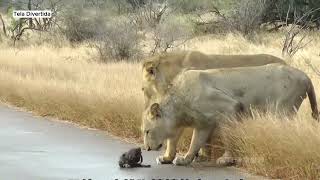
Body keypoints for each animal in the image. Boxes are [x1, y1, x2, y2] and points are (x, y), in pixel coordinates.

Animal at [141, 50, 286, 162]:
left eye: (143, 89)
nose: (146, 148)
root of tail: (285, 63)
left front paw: (202, 156)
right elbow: (174, 137)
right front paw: (168, 157)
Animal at [142, 64, 318, 167]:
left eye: (147, 131)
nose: (147, 148)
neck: (178, 103)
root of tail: (306, 76)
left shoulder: (229, 107)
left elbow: (228, 135)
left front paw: (226, 159)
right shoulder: (202, 123)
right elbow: (192, 142)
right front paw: (174, 158)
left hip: (282, 111)